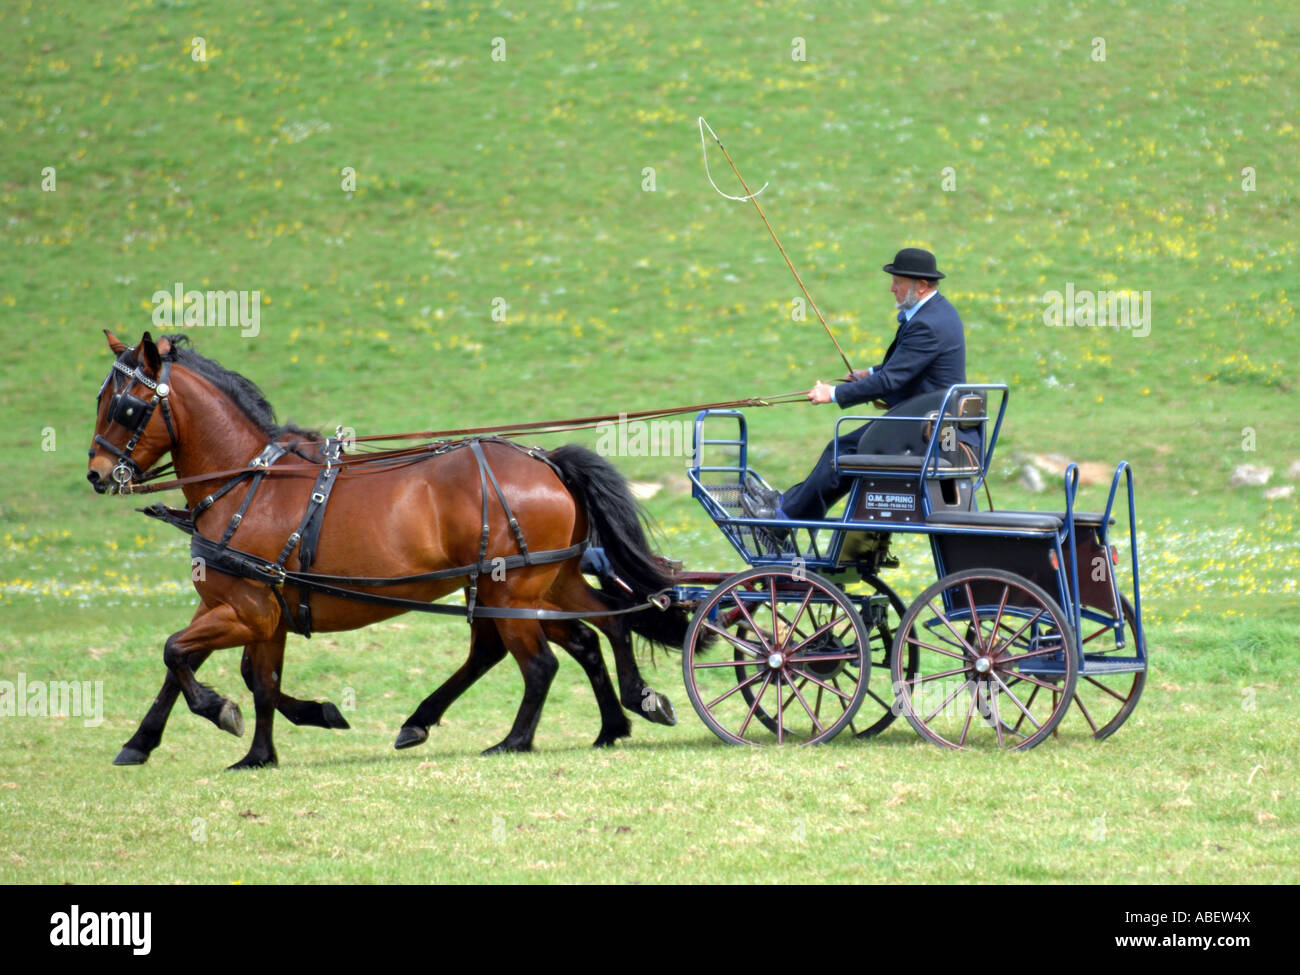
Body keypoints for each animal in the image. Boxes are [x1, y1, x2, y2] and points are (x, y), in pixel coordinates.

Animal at [86, 330, 690, 769]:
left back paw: (512, 740)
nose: (96, 474)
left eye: (126, 407)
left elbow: (182, 654)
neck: (247, 483)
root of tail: (544, 460)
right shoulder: (250, 612)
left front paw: (224, 714)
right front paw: (250, 748)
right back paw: (621, 715)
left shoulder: (248, 610)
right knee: (603, 626)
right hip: (546, 581)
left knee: (538, 662)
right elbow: (250, 678)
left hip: (510, 589)